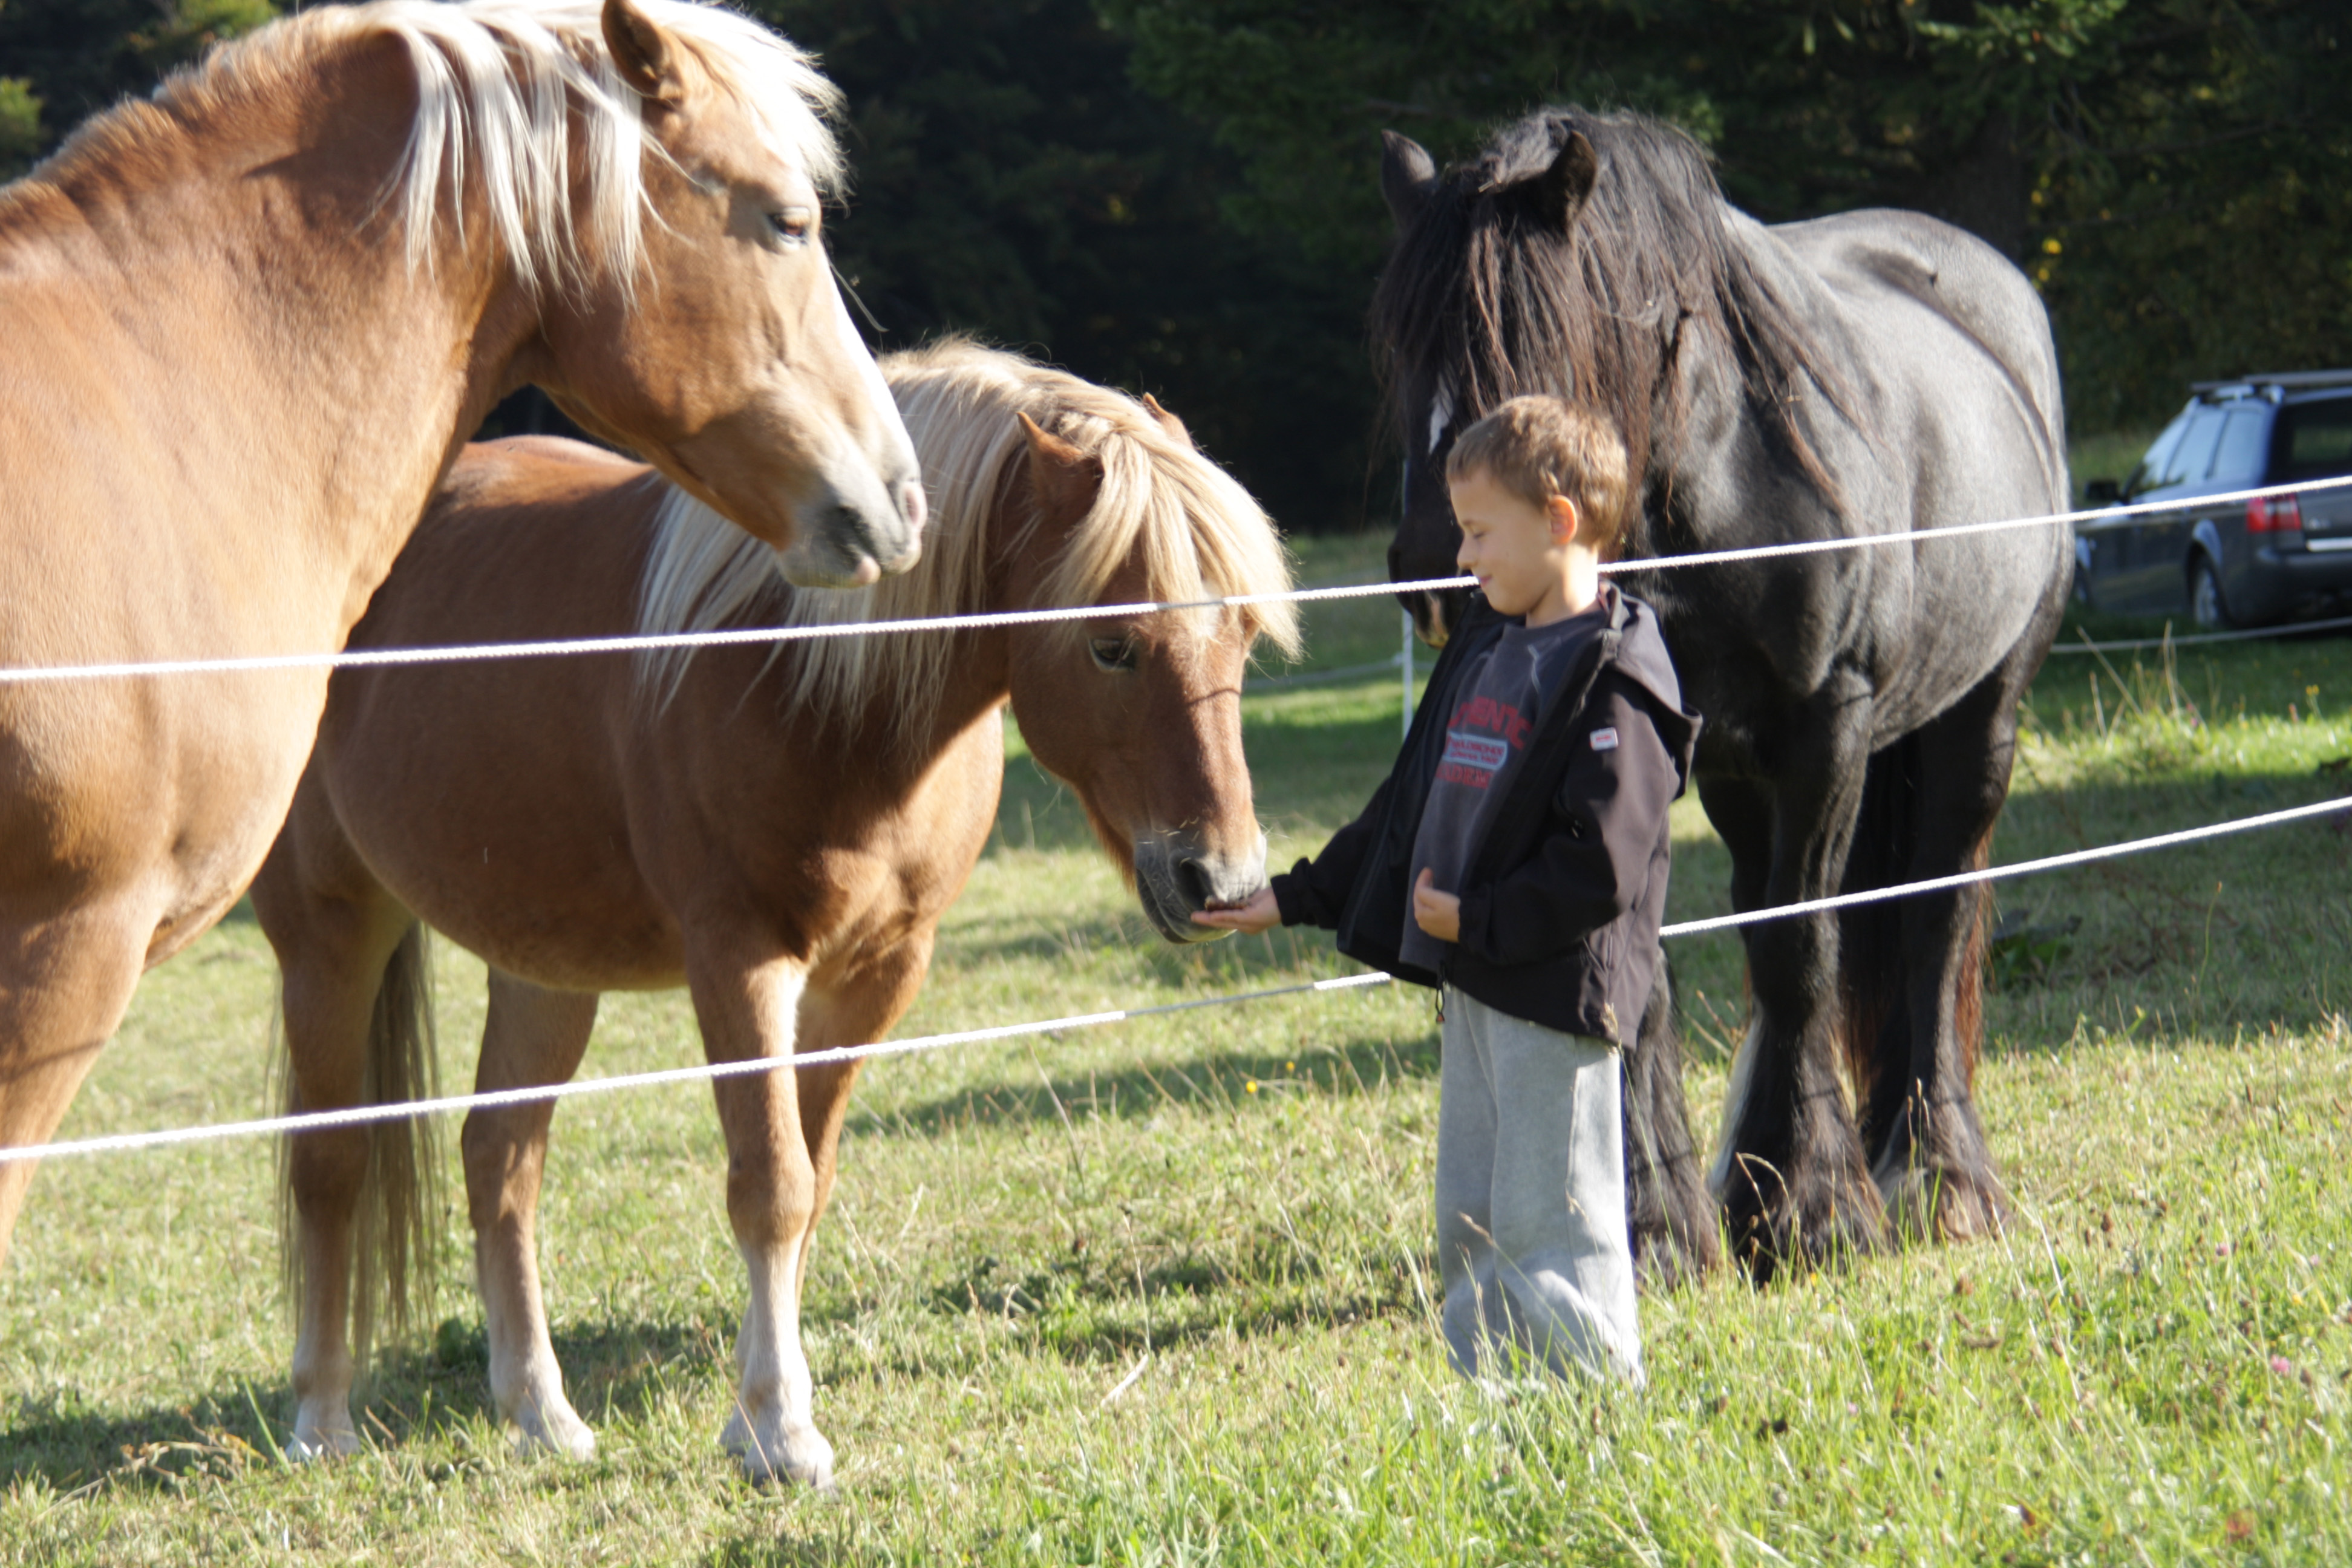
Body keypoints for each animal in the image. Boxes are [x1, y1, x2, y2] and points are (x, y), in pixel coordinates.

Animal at [251, 340, 1298, 1483]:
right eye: (1112, 645)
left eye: (1244, 631)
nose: (1223, 881)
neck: (809, 674)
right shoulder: (740, 963)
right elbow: (770, 1186)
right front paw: (781, 1428)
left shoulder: (878, 973)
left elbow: (810, 1177)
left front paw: (753, 1415)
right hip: (330, 931)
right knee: (330, 1165)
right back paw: (321, 1418)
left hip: (542, 968)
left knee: (500, 1161)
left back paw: (539, 1409)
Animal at [1373, 110, 2071, 1280]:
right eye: (1403, 349)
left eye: (1530, 340)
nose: (1437, 566)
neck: (1723, 481)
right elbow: (1636, 966)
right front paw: (1659, 1225)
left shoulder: (1827, 730)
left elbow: (1799, 952)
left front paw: (1817, 1212)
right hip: (1748, 778)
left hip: (1977, 722)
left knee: (1932, 917)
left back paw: (1940, 1176)